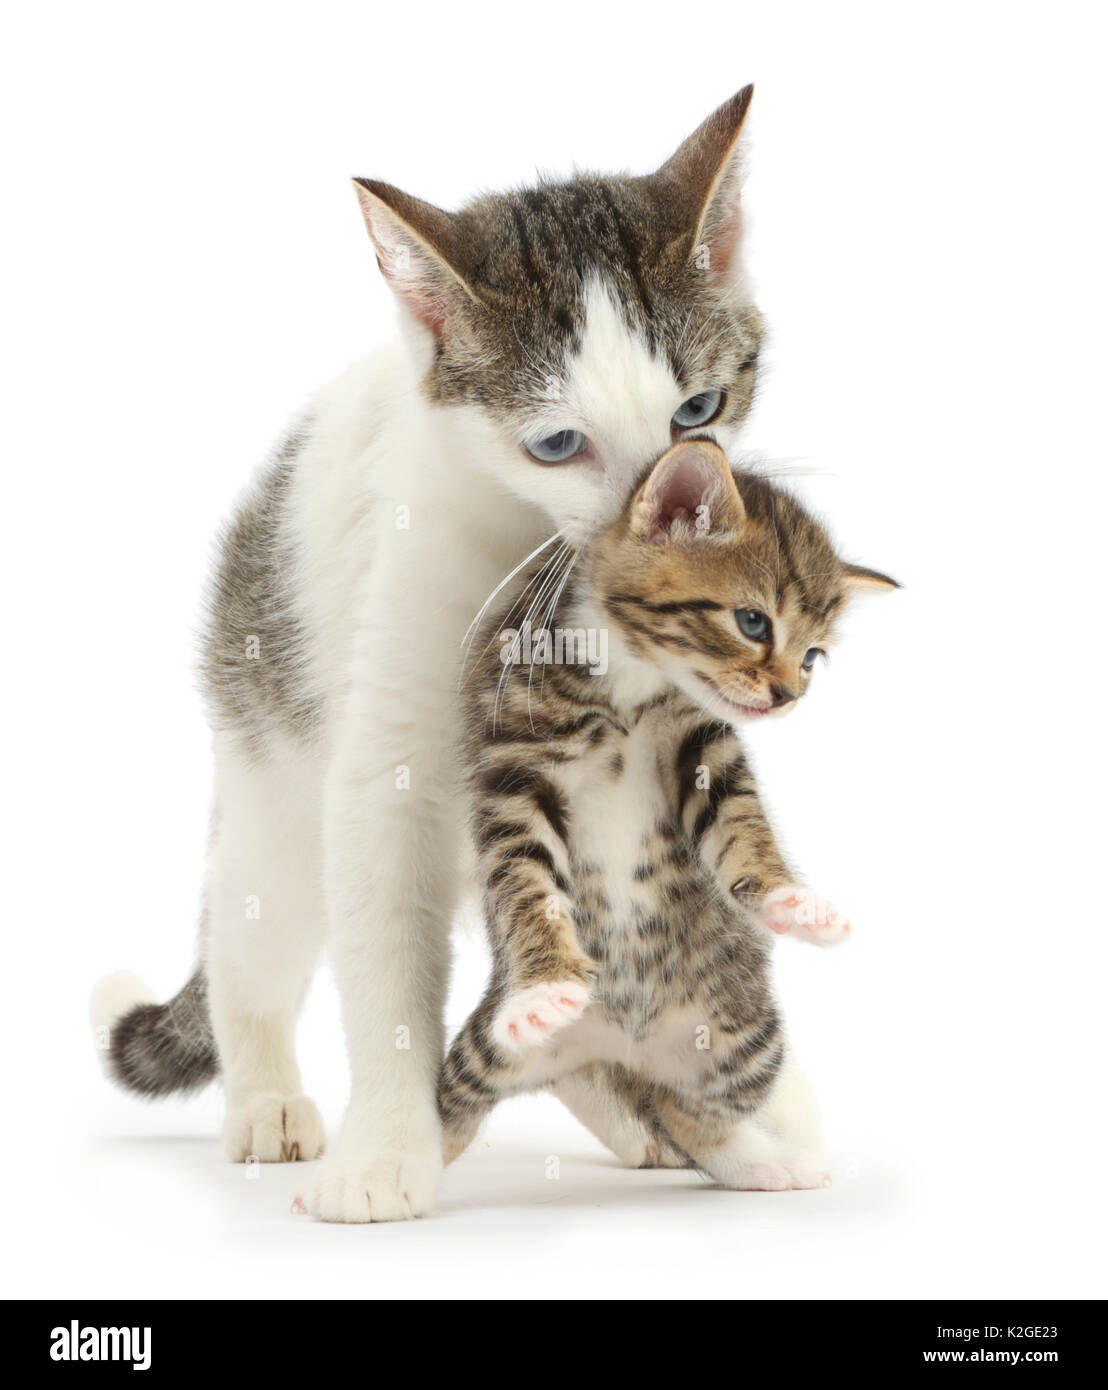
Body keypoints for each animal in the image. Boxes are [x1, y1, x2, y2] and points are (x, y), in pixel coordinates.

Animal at [95, 86, 800, 1223]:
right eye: (556, 444)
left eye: (698, 411)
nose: (668, 516)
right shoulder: (384, 756)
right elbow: (386, 954)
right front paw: (388, 1149)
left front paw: (748, 1112)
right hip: (271, 765)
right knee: (253, 935)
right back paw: (268, 1099)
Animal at [436, 439, 895, 1189]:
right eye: (752, 622)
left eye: (813, 656)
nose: (788, 696)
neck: (633, 682)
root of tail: (613, 1048)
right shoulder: (515, 767)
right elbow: (526, 880)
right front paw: (541, 989)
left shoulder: (706, 749)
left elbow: (742, 829)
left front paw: (792, 903)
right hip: (491, 1051)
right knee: (455, 1094)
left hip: (745, 1036)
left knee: (688, 1110)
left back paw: (766, 1162)